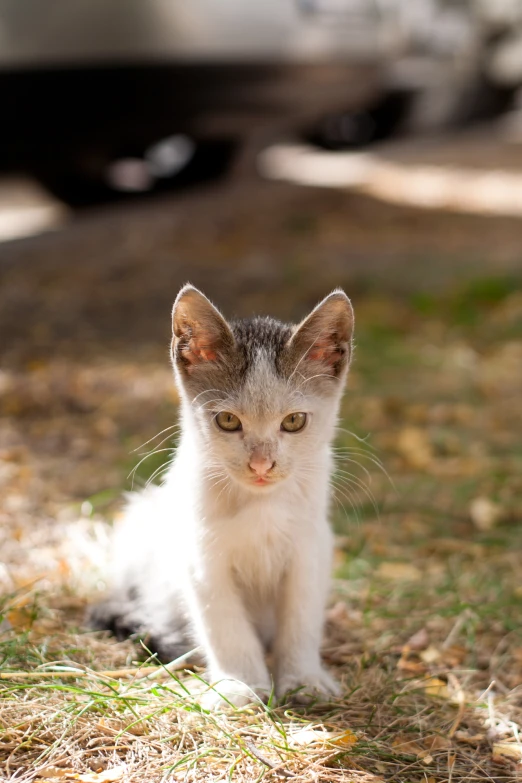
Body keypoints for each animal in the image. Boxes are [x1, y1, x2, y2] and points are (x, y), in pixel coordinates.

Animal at [92, 284, 354, 712]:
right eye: (228, 421)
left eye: (294, 421)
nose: (262, 464)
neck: (260, 506)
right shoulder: (200, 556)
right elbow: (224, 624)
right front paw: (240, 684)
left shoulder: (311, 547)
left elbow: (300, 617)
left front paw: (303, 679)